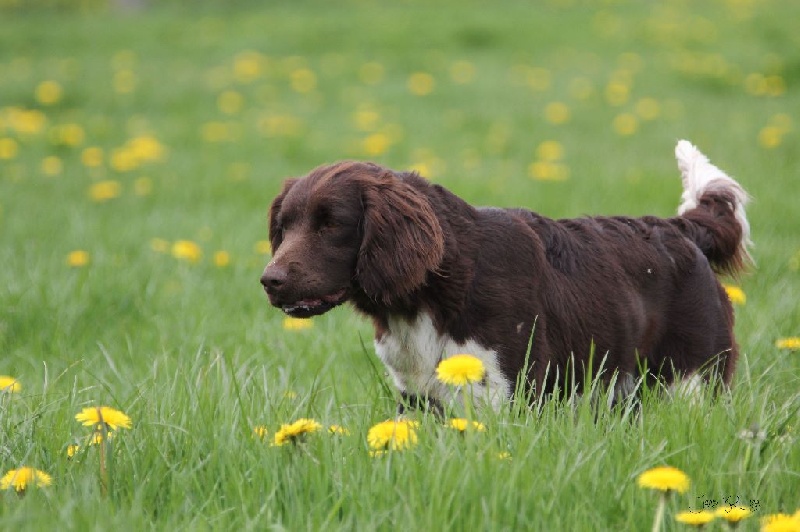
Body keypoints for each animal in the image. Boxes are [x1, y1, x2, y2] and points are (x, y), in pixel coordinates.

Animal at [260, 141, 752, 412]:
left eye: (331, 225)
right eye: (284, 226)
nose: (270, 280)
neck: (435, 293)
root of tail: (681, 229)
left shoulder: (505, 391)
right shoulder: (418, 396)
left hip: (689, 379)